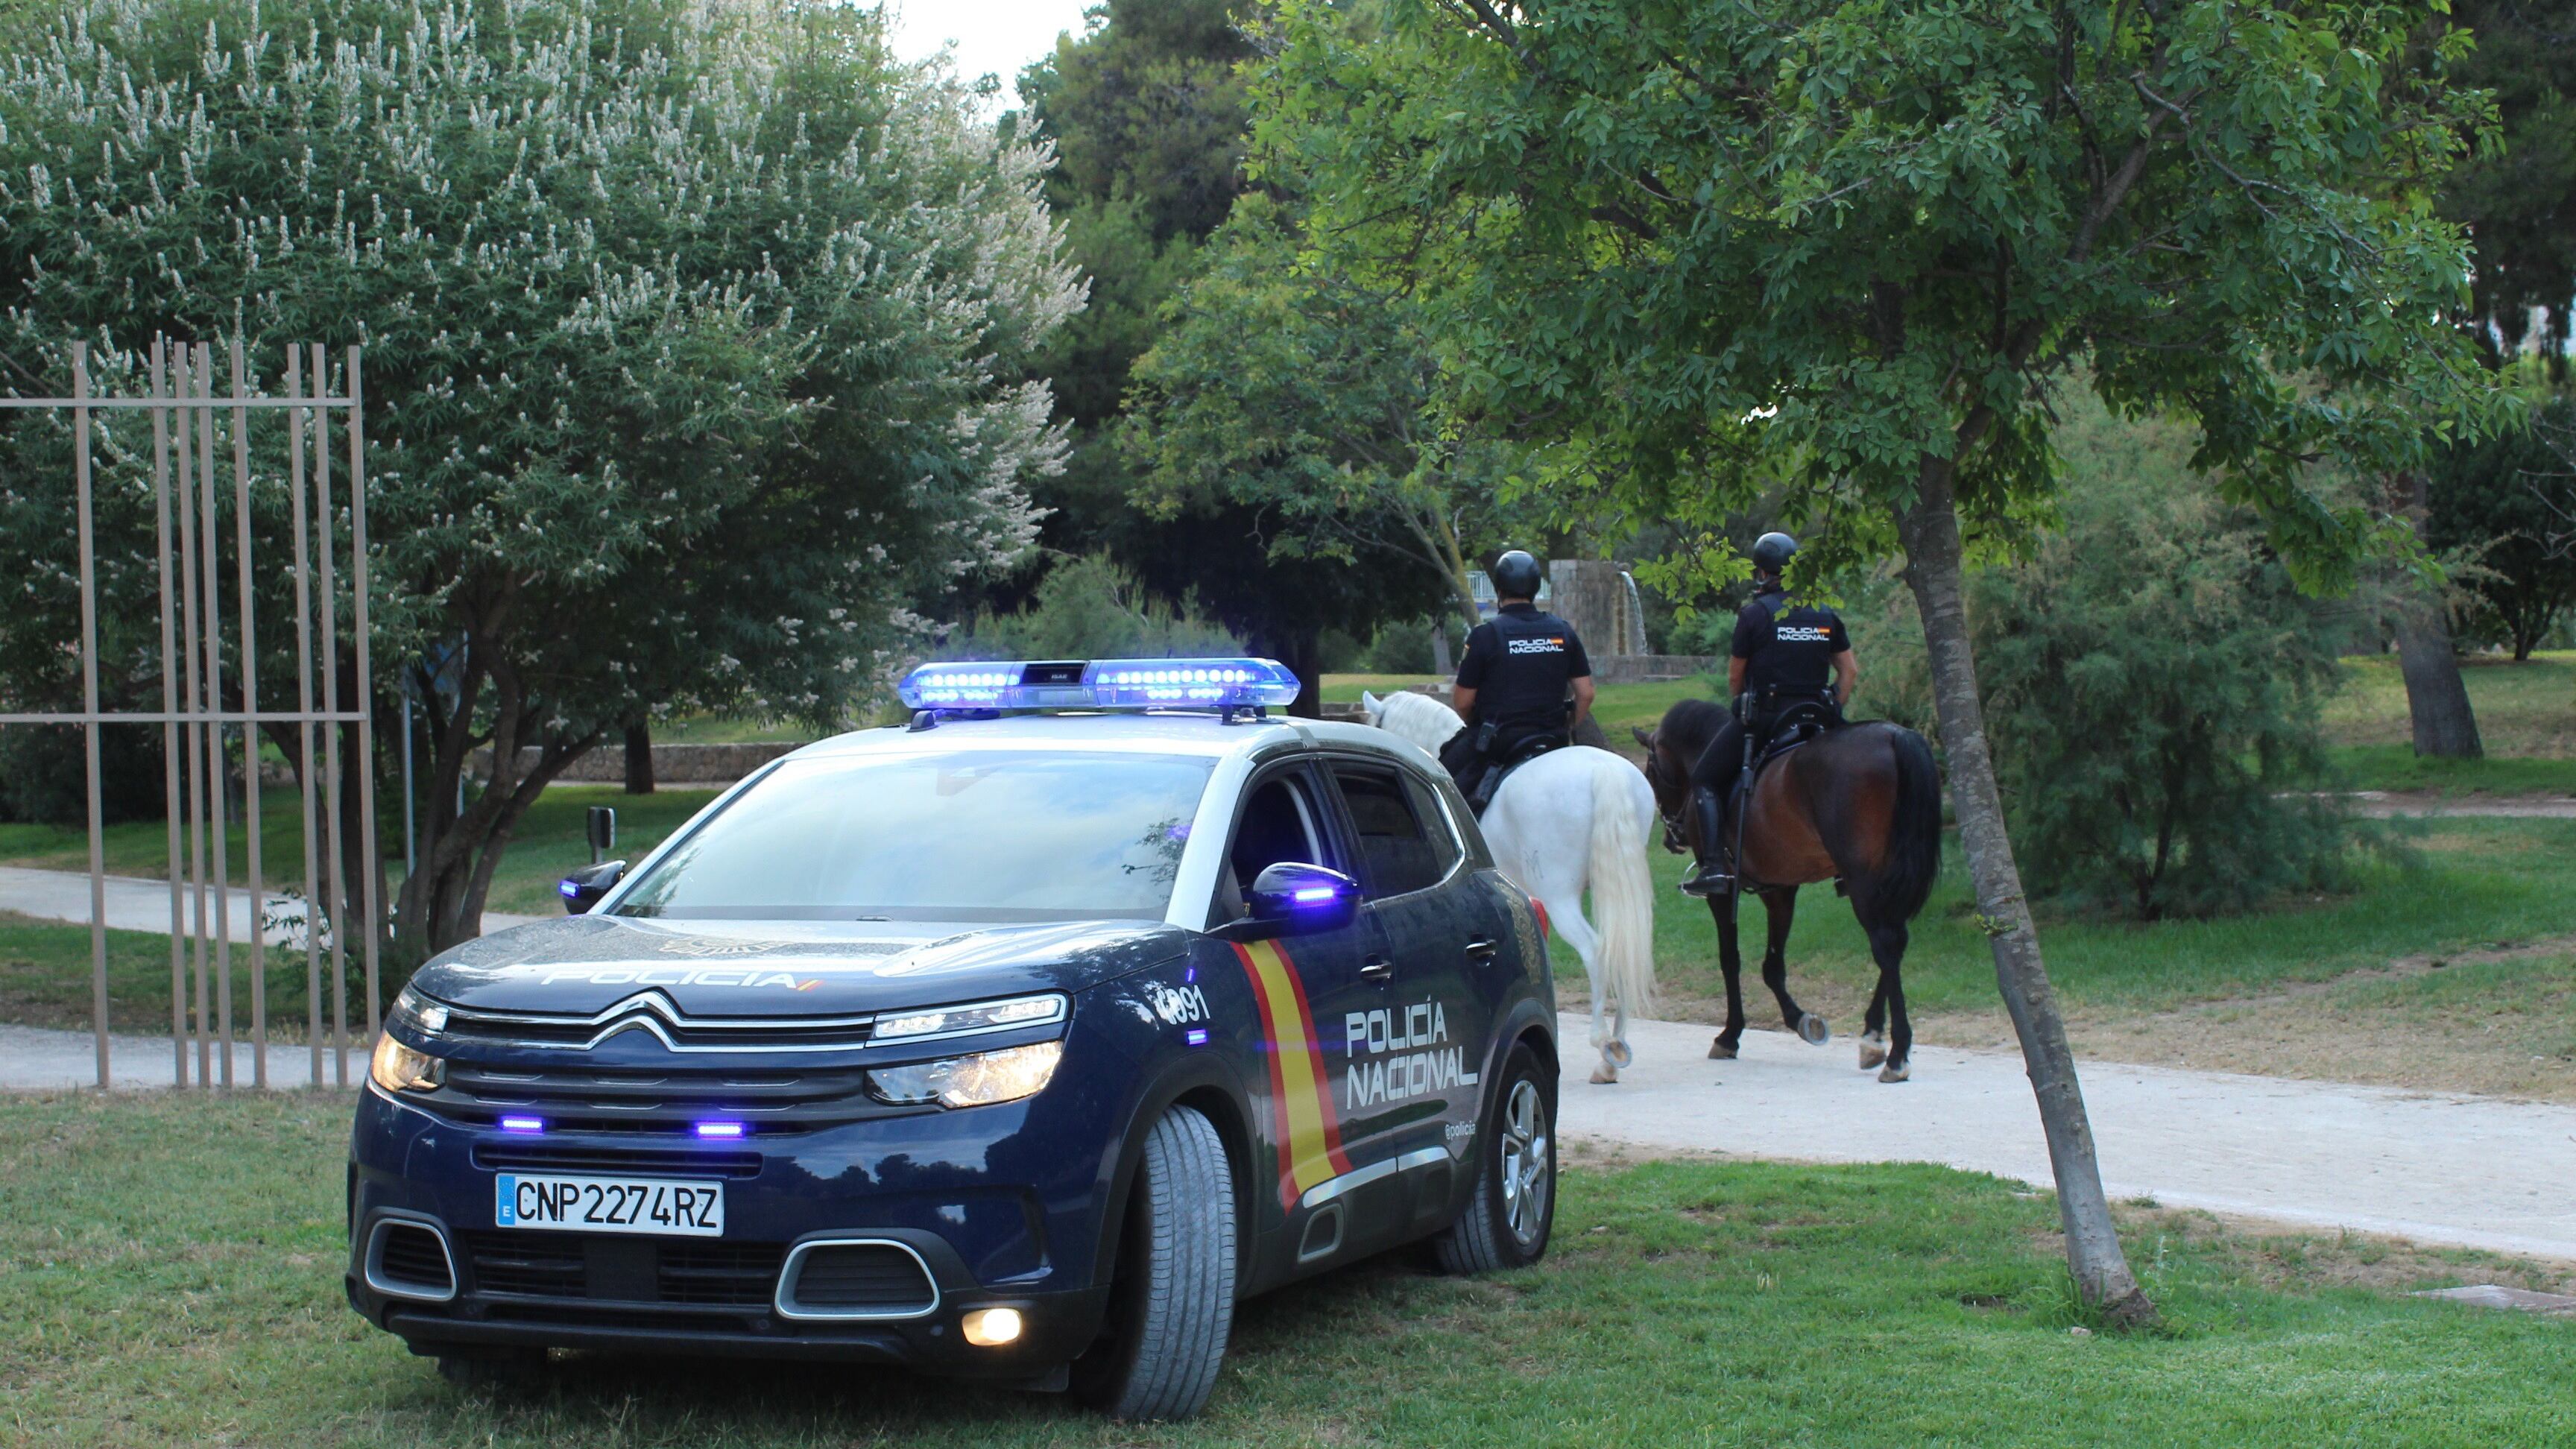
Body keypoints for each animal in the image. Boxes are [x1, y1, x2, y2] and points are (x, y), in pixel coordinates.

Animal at [1360, 689, 1659, 1084]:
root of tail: (1602, 769)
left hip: (1561, 895)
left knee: (1596, 951)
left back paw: (1602, 1043)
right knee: (1622, 948)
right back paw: (1613, 1055)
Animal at [1633, 698, 1943, 1082]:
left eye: (1651, 772)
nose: (1670, 837)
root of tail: (1894, 736)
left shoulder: (1723, 895)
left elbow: (1730, 960)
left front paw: (1730, 1035)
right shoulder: (1780, 891)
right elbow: (1773, 965)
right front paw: (1801, 1020)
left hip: (1863, 879)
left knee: (1885, 945)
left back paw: (1897, 1054)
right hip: (1883, 878)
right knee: (1896, 942)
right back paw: (1873, 1036)